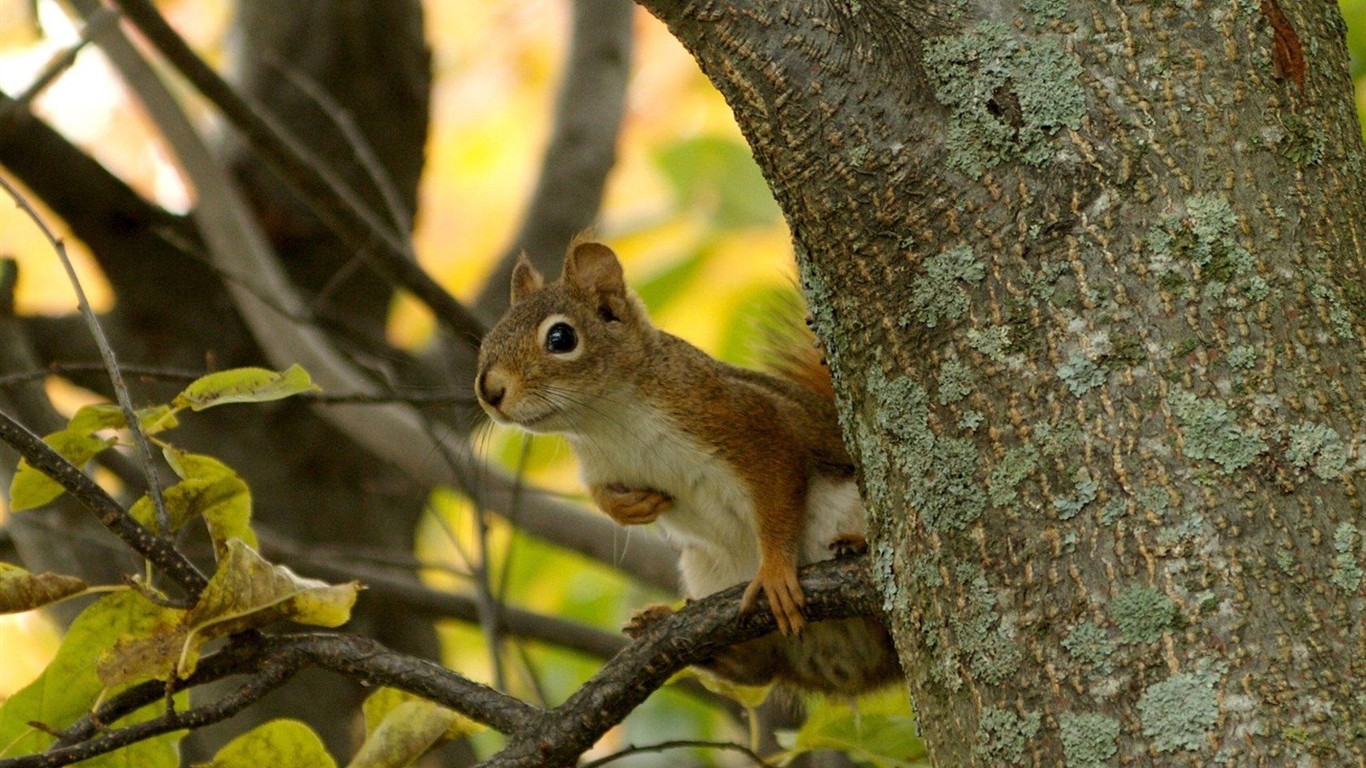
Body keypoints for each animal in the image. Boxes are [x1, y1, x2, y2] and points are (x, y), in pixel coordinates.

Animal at [475, 239, 901, 694]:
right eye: (490, 337)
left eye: (561, 337)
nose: (489, 391)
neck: (608, 422)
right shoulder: (600, 465)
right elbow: (600, 493)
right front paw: (628, 508)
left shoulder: (747, 423)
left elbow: (779, 489)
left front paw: (775, 572)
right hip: (705, 570)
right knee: (760, 669)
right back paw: (692, 639)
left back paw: (857, 543)